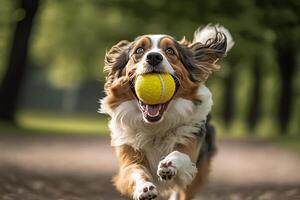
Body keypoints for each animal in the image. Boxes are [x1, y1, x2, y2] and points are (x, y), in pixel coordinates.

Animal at [101, 25, 234, 200]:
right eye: (139, 50)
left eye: (170, 51)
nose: (154, 57)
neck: (155, 127)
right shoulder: (127, 159)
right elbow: (135, 171)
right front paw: (144, 188)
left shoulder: (191, 154)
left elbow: (181, 154)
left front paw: (169, 164)